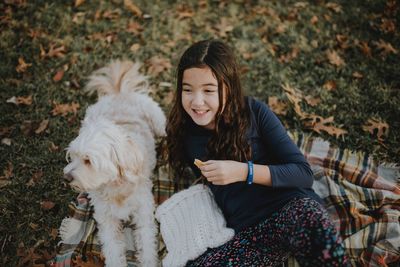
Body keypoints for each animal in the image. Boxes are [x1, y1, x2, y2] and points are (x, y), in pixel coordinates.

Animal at [64, 60, 164, 267]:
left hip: (159, 120)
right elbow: (112, 248)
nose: (66, 177)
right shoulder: (106, 220)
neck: (116, 185)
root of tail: (119, 93)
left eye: (88, 161)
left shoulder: (143, 213)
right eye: (73, 156)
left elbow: (147, 244)